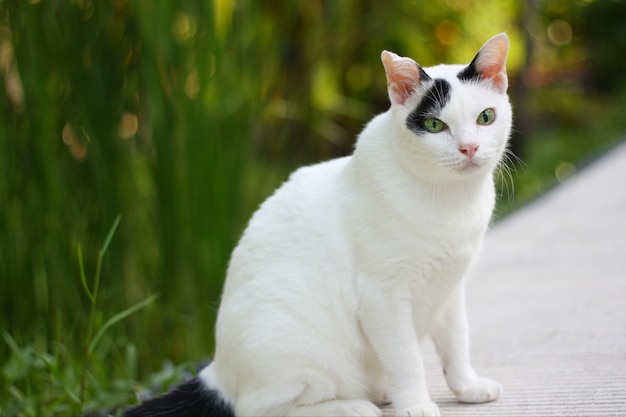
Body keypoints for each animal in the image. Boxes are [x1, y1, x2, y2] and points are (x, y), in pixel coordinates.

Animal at [124, 33, 510, 416]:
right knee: (261, 408)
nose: (469, 148)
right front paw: (415, 404)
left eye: (485, 117)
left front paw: (467, 387)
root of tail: (218, 372)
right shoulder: (383, 298)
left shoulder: (449, 290)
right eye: (434, 125)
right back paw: (354, 406)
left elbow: (456, 344)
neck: (450, 201)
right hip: (293, 347)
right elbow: (407, 360)